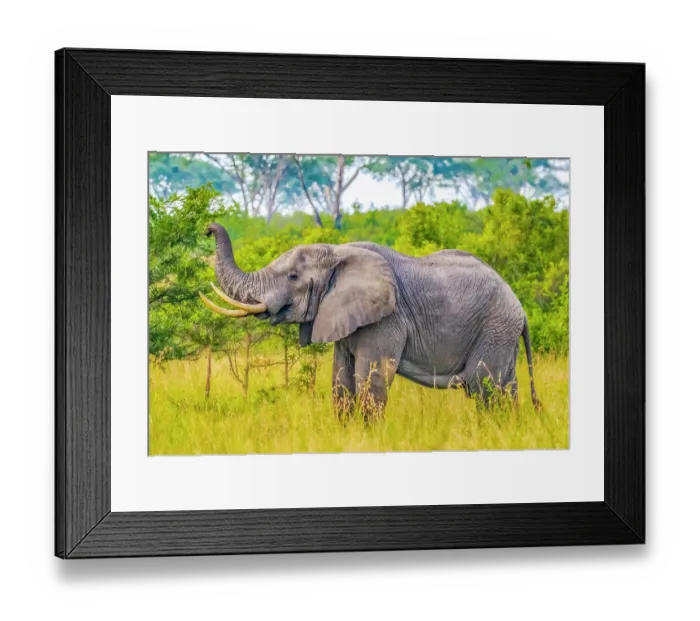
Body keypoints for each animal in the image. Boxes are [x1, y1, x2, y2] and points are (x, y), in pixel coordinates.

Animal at [200, 222, 541, 420]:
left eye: (293, 277)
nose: (207, 228)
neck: (339, 252)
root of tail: (521, 310)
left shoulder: (387, 319)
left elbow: (371, 382)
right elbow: (341, 383)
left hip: (494, 328)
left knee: (484, 389)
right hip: (502, 335)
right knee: (506, 389)